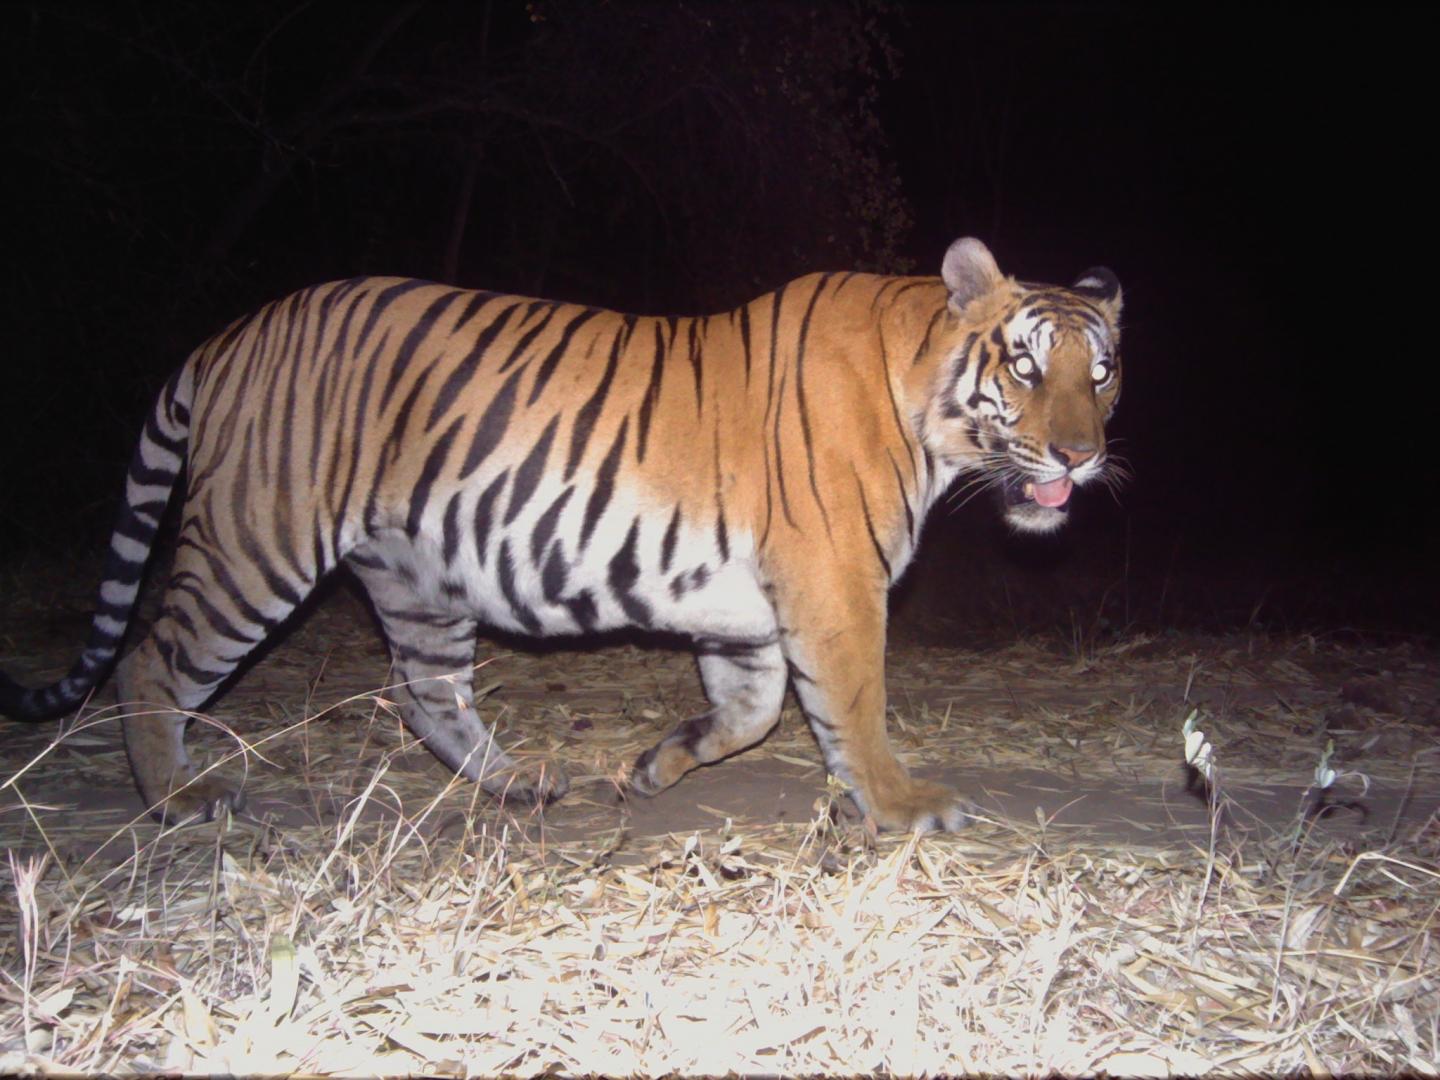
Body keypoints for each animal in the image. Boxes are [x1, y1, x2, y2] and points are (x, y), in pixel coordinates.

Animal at [0, 238, 1122, 831]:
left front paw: (657, 764)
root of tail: (227, 337)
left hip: (416, 581)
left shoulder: (750, 610)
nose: (1079, 456)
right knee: (150, 660)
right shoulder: (834, 584)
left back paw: (522, 783)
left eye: (1101, 373)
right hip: (257, 542)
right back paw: (178, 798)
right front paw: (901, 803)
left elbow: (753, 710)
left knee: (429, 697)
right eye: (1026, 366)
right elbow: (852, 704)